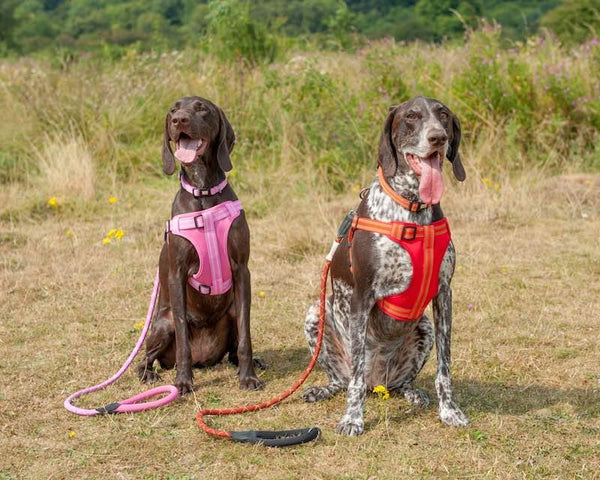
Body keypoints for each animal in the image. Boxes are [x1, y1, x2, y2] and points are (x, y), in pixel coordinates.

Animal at [141, 94, 264, 394]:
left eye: (202, 109)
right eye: (173, 110)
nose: (179, 120)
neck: (203, 192)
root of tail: (204, 359)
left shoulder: (241, 270)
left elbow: (246, 336)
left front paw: (249, 377)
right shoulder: (176, 274)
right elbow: (183, 340)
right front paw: (183, 382)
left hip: (230, 313)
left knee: (234, 347)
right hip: (162, 325)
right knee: (145, 358)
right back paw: (149, 375)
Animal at [304, 97, 468, 436]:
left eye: (443, 115)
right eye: (411, 116)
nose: (438, 138)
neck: (413, 206)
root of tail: (376, 384)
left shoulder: (444, 295)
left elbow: (444, 368)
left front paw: (450, 411)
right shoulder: (361, 297)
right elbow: (354, 379)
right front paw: (352, 419)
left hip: (423, 328)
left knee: (400, 383)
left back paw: (412, 393)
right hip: (317, 314)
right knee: (344, 379)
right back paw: (323, 389)